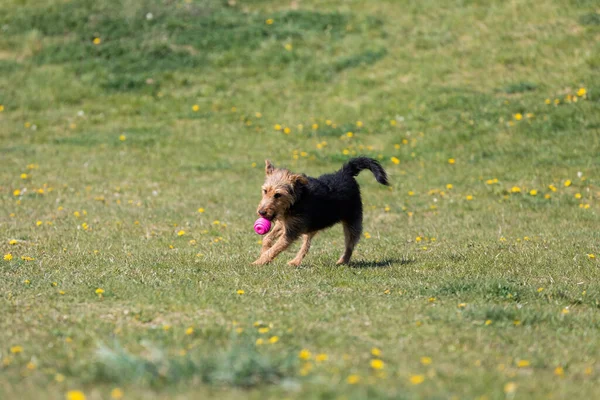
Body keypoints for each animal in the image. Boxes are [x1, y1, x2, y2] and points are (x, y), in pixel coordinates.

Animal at [252, 156, 390, 266]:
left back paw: (342, 261)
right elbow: (267, 239)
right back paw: (295, 262)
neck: (298, 198)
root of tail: (345, 172)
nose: (261, 212)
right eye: (265, 191)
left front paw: (258, 262)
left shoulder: (291, 231)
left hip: (353, 221)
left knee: (350, 245)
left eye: (278, 195)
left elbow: (275, 248)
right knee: (306, 246)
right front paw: (263, 252)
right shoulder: (286, 224)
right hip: (312, 226)